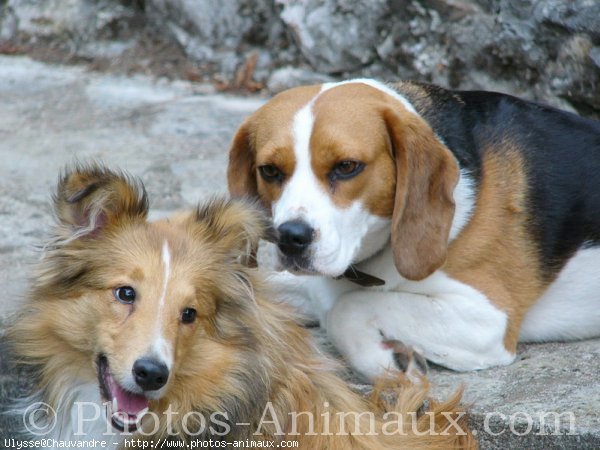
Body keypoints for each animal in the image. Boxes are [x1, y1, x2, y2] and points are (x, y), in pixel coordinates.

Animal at [227, 78, 600, 380]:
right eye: (270, 171)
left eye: (347, 167)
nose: (291, 238)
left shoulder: (487, 318)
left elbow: (345, 309)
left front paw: (389, 362)